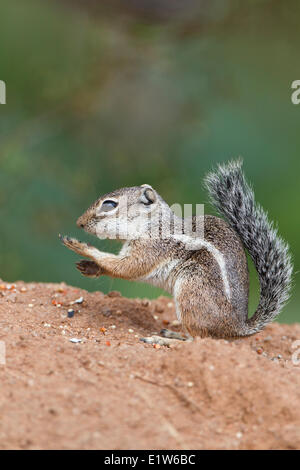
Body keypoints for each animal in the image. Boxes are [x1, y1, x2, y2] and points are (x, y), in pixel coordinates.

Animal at [59, 160, 292, 344]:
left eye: (109, 204)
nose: (79, 223)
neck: (153, 224)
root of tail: (238, 328)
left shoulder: (152, 248)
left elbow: (128, 267)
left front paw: (81, 247)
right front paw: (89, 267)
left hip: (192, 288)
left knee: (198, 339)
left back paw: (165, 339)